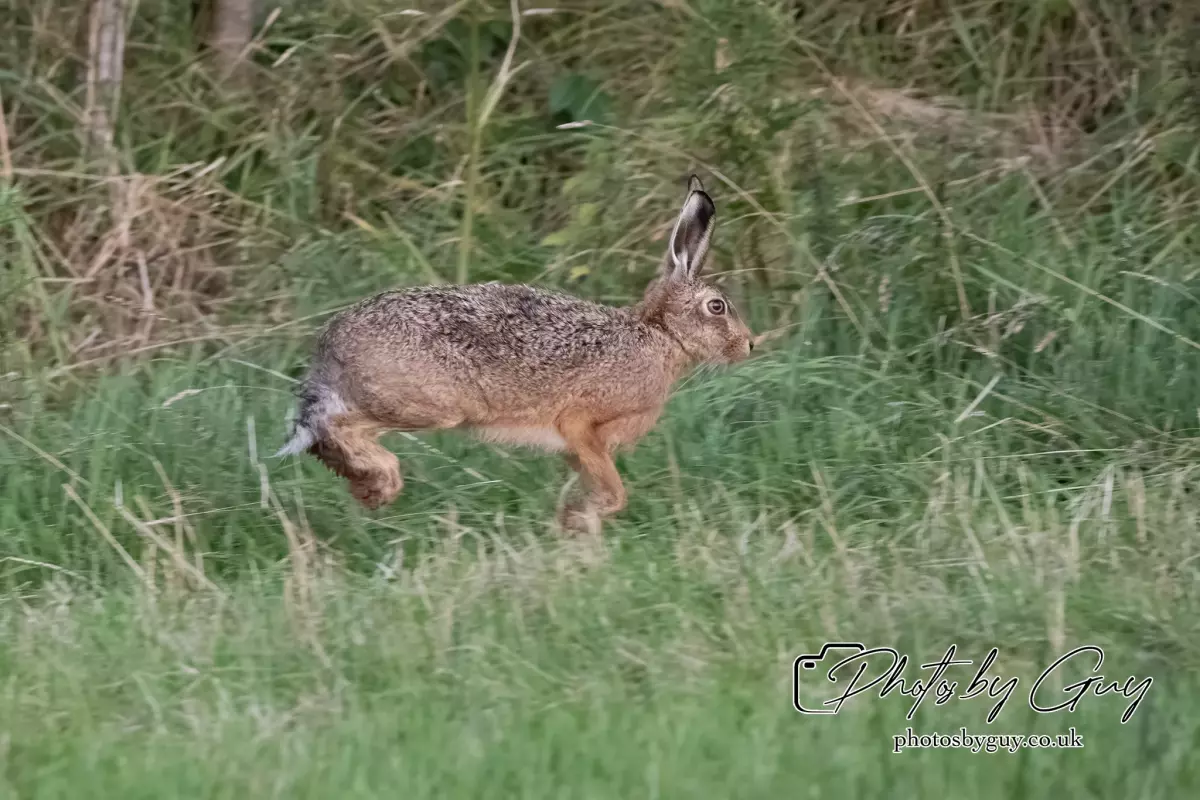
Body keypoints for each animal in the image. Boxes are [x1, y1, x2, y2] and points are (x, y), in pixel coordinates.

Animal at [275, 175, 754, 536]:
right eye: (717, 307)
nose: (750, 344)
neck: (660, 335)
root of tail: (332, 345)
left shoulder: (579, 450)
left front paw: (572, 525)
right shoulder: (582, 424)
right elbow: (614, 493)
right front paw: (582, 522)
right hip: (428, 404)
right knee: (340, 428)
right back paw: (383, 482)